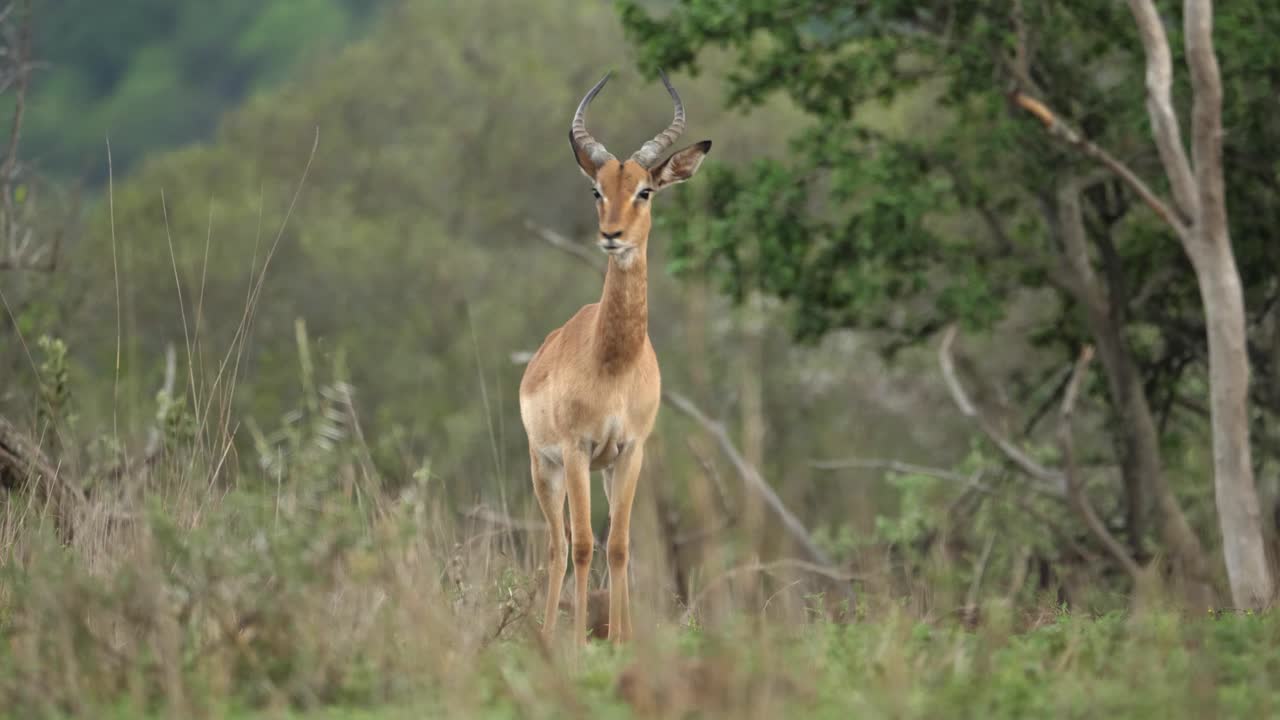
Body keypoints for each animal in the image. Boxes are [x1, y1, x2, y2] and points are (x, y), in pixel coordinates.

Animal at [520, 71, 711, 646]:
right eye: (596, 189)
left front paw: (624, 640)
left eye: (645, 190)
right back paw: (550, 634)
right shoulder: (577, 450)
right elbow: (584, 545)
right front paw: (580, 645)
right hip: (545, 468)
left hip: (600, 470)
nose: (611, 235)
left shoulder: (630, 451)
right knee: (559, 545)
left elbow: (621, 546)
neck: (612, 364)